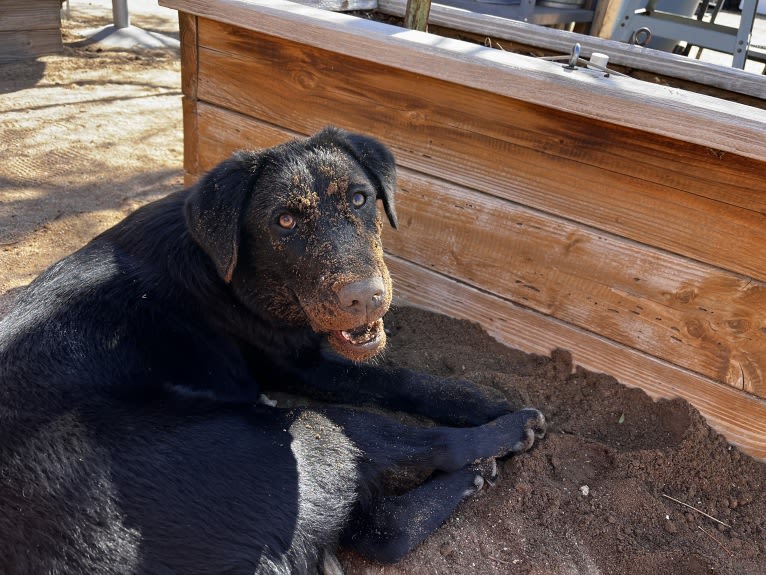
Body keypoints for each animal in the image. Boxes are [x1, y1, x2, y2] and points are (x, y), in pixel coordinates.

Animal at [0, 128, 544, 572]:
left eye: (361, 198)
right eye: (284, 221)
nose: (366, 297)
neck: (224, 269)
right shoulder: (304, 368)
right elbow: (399, 379)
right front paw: (482, 403)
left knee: (373, 526)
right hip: (306, 430)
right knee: (408, 484)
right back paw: (504, 438)